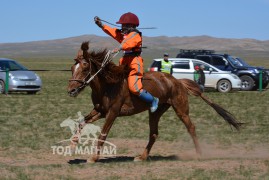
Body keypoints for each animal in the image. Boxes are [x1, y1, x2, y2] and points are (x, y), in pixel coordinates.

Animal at [67, 41, 241, 162]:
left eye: (84, 67)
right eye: (72, 68)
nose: (71, 90)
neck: (108, 85)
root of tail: (177, 82)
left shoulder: (112, 112)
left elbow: (103, 134)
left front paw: (93, 158)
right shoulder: (100, 111)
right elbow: (81, 123)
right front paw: (72, 146)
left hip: (181, 109)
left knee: (191, 127)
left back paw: (199, 154)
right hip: (156, 112)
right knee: (154, 133)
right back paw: (142, 157)